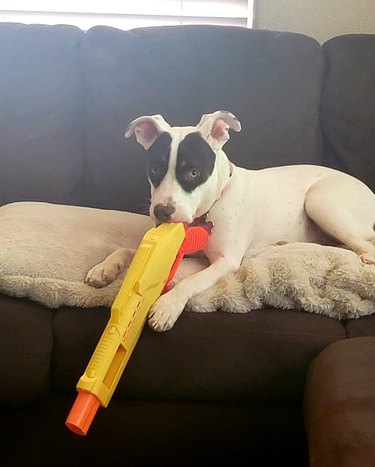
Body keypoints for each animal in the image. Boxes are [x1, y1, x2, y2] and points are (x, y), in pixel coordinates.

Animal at [85, 110, 375, 332]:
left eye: (193, 173)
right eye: (155, 169)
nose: (162, 211)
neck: (208, 209)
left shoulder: (225, 261)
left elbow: (192, 281)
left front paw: (167, 306)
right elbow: (127, 249)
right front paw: (104, 268)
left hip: (320, 202)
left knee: (363, 244)